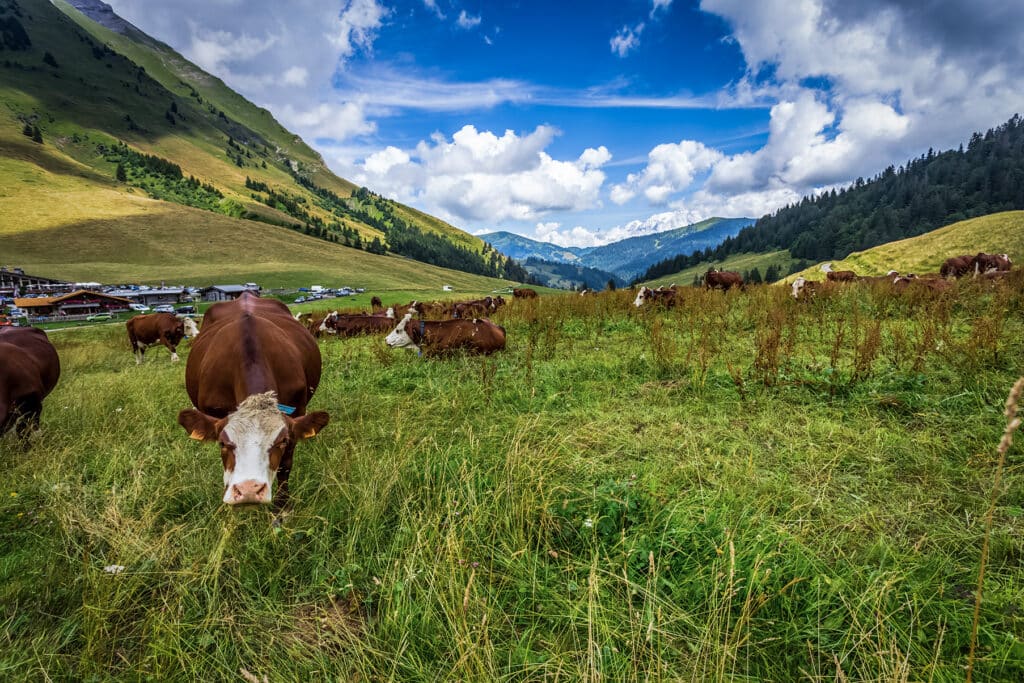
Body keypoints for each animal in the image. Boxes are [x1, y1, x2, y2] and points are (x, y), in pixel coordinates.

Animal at [176, 292, 327, 507]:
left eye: (282, 441)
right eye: (222, 443)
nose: (249, 490)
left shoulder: (297, 413)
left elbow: (285, 466)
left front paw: (282, 505)